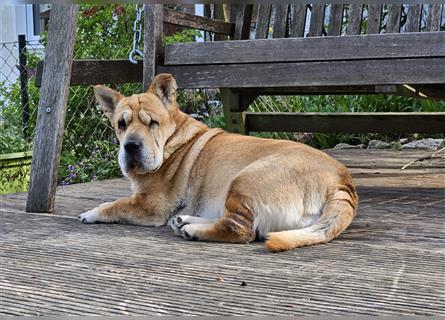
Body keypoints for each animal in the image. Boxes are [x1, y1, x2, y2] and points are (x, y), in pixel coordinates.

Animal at [79, 74, 358, 251]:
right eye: (121, 124)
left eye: (152, 123)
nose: (131, 146)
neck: (173, 140)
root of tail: (341, 182)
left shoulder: (149, 205)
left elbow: (115, 205)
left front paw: (91, 213)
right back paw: (185, 221)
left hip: (245, 179)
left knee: (241, 229)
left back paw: (193, 230)